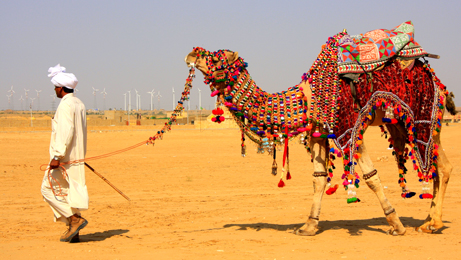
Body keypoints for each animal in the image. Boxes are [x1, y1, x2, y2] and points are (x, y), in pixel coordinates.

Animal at [182, 21, 452, 236]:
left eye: (216, 57)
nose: (191, 53)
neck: (305, 99)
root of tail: (438, 81)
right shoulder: (318, 134)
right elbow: (319, 179)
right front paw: (309, 226)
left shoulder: (349, 128)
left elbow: (371, 178)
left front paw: (396, 224)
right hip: (403, 125)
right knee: (435, 166)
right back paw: (428, 221)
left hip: (424, 119)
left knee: (442, 166)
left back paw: (433, 223)